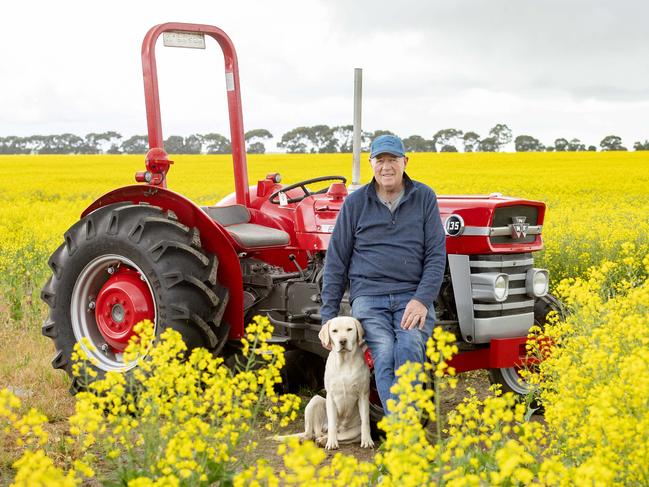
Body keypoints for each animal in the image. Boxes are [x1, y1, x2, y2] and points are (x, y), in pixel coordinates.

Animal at [300, 316, 372, 450]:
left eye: (349, 329)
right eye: (334, 331)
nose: (342, 341)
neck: (344, 362)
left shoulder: (363, 395)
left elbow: (365, 421)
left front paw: (367, 441)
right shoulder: (331, 396)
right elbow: (333, 423)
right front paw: (332, 443)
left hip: (353, 432)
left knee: (337, 436)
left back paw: (323, 440)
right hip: (315, 400)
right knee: (312, 433)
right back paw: (311, 439)